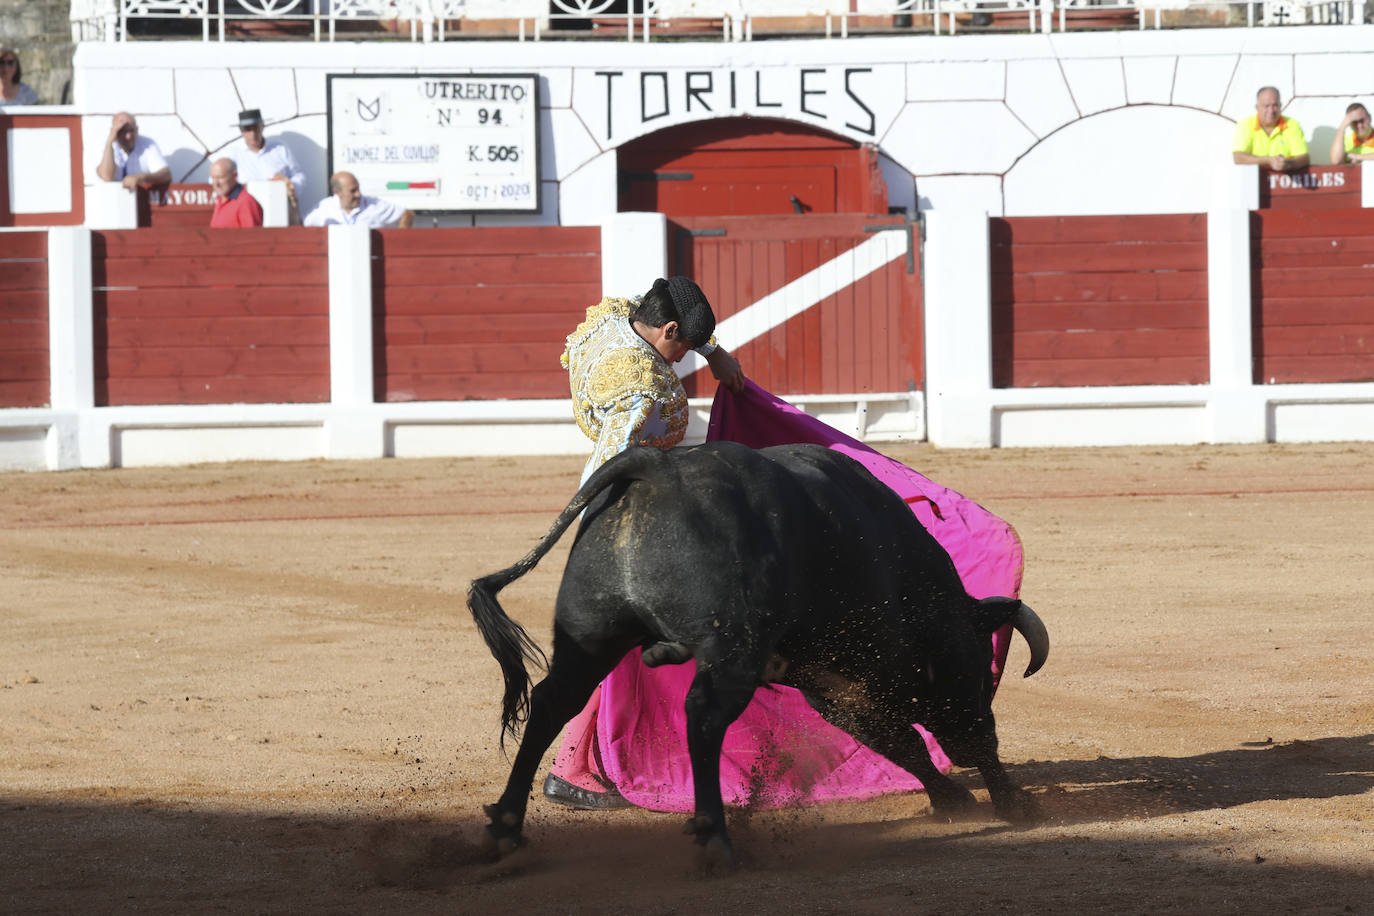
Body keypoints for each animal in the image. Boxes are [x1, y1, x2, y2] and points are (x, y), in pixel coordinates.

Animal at [467, 439, 1044, 862]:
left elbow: (900, 743)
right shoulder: (866, 680)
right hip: (730, 650)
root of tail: (658, 467)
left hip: (589, 635)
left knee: (551, 703)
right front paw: (1011, 803)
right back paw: (716, 838)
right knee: (702, 715)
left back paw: (506, 827)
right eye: (977, 658)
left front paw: (957, 800)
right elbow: (929, 738)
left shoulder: (833, 689)